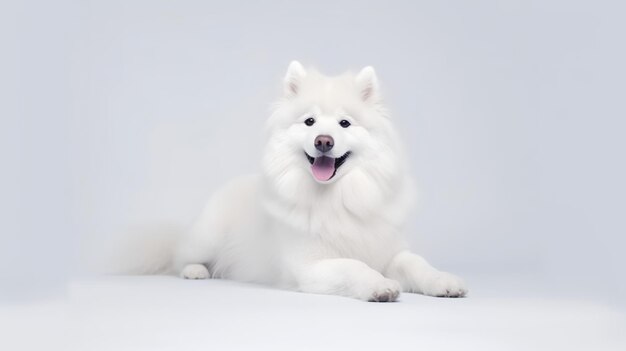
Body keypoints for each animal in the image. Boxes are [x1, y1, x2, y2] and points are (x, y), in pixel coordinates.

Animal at [165, 61, 464, 302]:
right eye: (310, 121)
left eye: (345, 123)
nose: (323, 141)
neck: (339, 198)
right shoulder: (310, 266)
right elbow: (353, 265)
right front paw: (378, 285)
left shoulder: (389, 251)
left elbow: (416, 263)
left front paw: (443, 281)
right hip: (206, 238)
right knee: (180, 258)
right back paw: (195, 270)